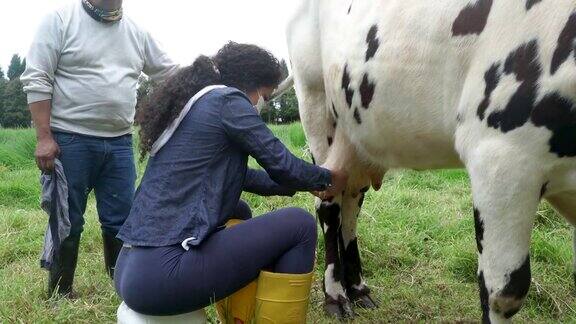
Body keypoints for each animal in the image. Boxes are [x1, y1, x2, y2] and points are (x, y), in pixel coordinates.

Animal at [284, 1, 576, 322]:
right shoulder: (502, 155)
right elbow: (504, 292)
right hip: (315, 102)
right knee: (329, 205)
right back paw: (335, 296)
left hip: (355, 138)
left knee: (351, 204)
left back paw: (358, 290)